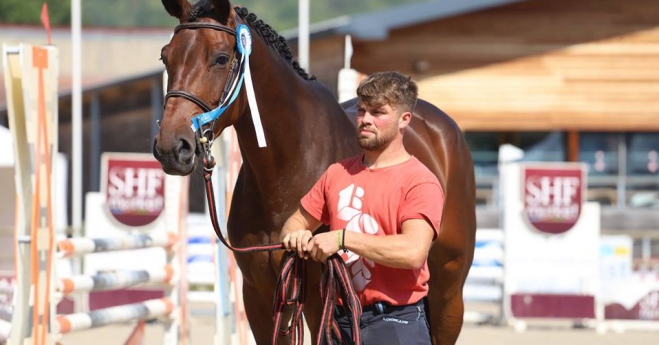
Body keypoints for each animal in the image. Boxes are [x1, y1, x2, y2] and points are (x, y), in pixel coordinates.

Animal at [154, 1, 474, 342]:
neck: (285, 172)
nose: (172, 147)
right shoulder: (261, 296)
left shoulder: (322, 302)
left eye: (221, 58)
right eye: (166, 56)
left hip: (448, 290)